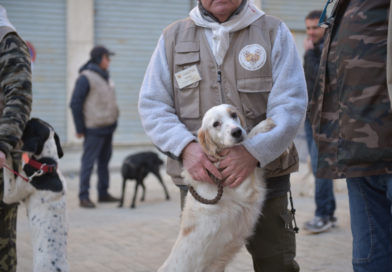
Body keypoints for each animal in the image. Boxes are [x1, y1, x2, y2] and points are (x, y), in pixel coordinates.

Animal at [2, 118, 68, 272]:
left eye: (29, 125)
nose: (30, 117)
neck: (46, 165)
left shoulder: (10, 194)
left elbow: (9, 165)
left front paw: (5, 151)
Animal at [158, 104, 276, 272]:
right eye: (216, 124)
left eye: (233, 115)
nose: (237, 131)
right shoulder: (248, 189)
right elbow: (249, 145)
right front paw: (262, 126)